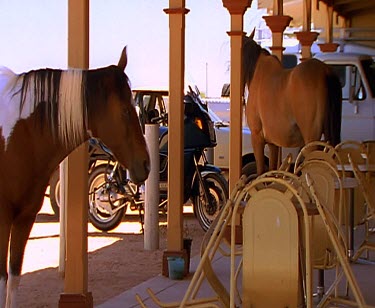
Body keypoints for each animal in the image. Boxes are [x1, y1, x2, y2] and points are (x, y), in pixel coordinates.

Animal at [0, 48, 150, 308]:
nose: (146, 164)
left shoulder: (24, 218)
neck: (18, 135)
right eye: (125, 110)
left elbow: (14, 279)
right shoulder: (2, 218)